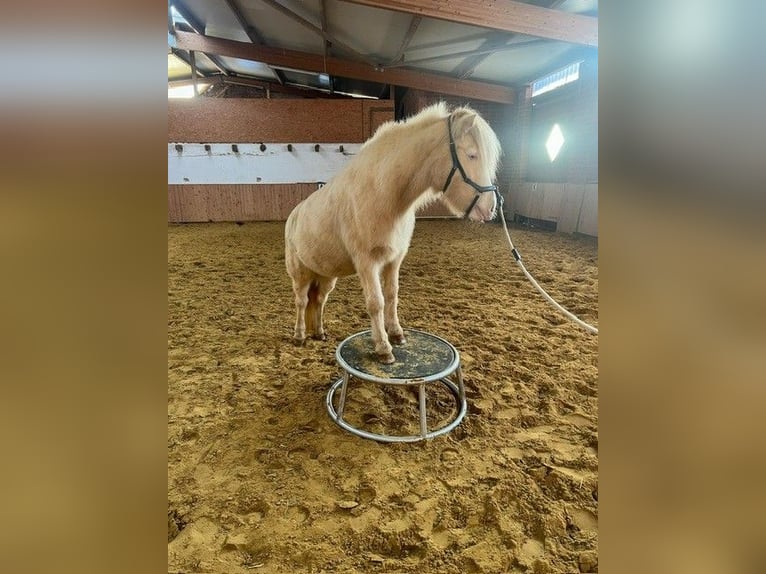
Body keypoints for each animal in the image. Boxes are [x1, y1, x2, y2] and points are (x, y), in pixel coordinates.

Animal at [284, 102, 502, 363]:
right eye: (472, 155)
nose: (490, 208)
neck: (383, 193)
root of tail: (293, 216)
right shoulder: (367, 263)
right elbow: (376, 303)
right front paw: (383, 348)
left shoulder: (394, 260)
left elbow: (391, 295)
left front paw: (397, 334)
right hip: (301, 274)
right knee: (301, 301)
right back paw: (299, 336)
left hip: (326, 277)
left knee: (318, 301)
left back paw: (318, 332)